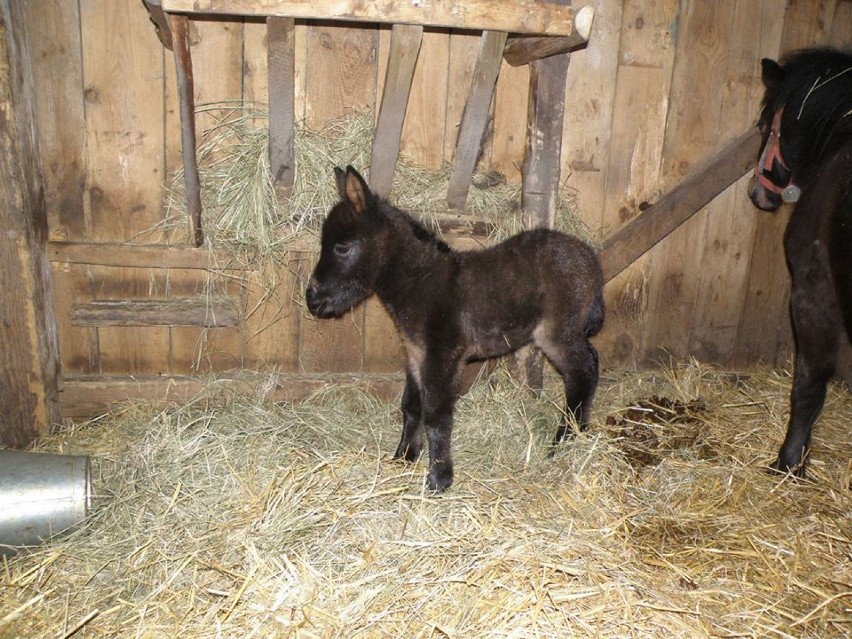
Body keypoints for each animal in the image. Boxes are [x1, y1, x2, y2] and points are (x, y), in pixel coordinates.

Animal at [306, 168, 604, 492]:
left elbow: (437, 415)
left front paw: (438, 479)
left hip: (555, 332)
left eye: (342, 248)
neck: (420, 282)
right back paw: (578, 434)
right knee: (590, 362)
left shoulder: (442, 356)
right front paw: (403, 458)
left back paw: (564, 442)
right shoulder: (416, 353)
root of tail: (589, 257)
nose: (312, 300)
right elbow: (412, 407)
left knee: (582, 371)